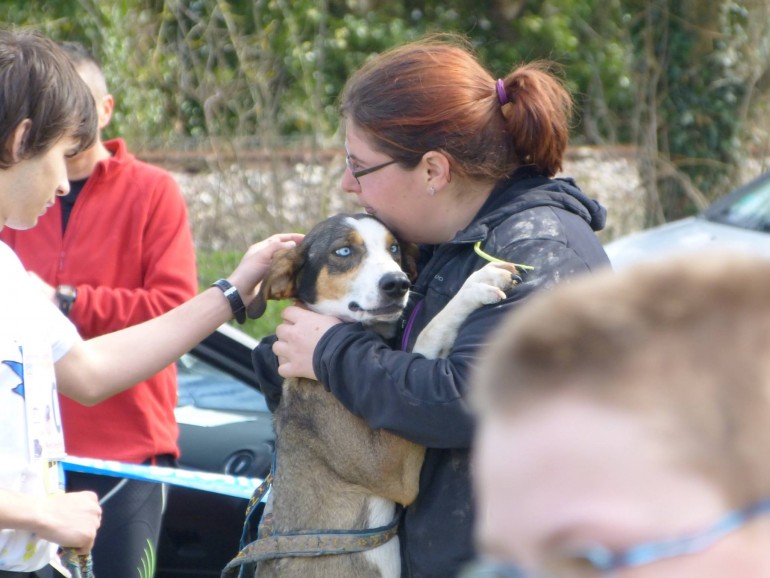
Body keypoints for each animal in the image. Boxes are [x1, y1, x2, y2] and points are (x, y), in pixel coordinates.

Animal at [242, 213, 516, 576]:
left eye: (395, 248)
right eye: (343, 251)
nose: (397, 284)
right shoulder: (394, 467)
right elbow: (426, 336)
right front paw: (476, 283)